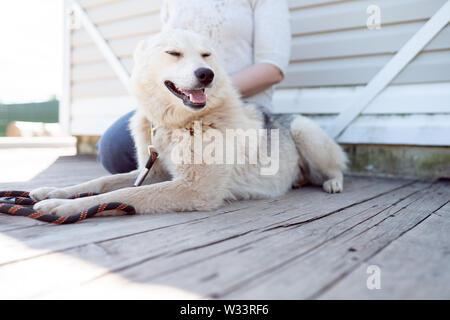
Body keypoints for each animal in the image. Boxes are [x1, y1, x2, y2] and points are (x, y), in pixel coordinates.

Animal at [30, 30, 348, 216]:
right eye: (173, 53)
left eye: (206, 55)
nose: (206, 73)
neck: (178, 124)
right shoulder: (154, 171)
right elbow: (102, 182)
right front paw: (55, 191)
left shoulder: (193, 188)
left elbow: (124, 193)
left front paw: (65, 206)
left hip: (304, 131)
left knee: (336, 168)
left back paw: (332, 182)